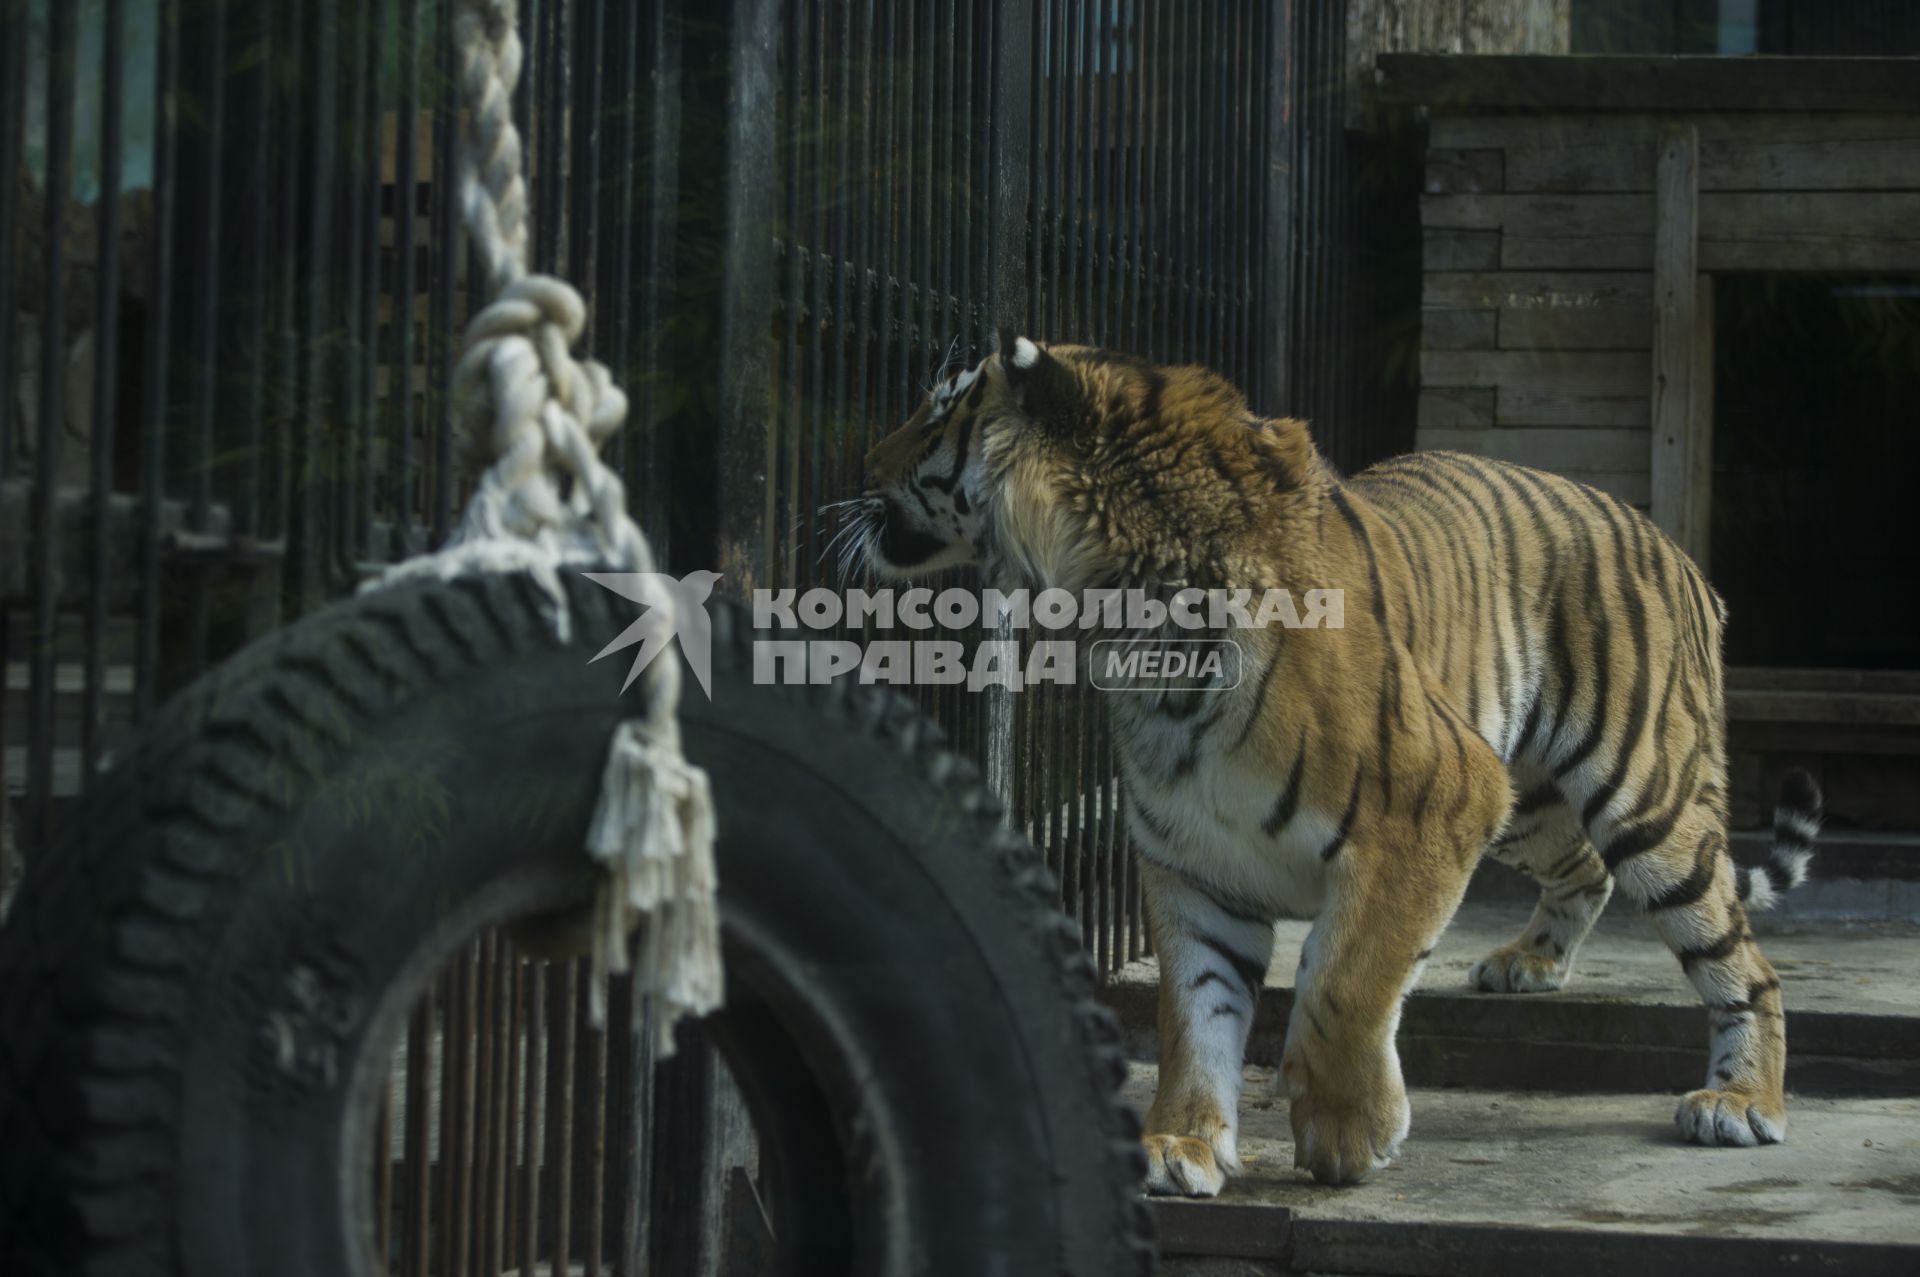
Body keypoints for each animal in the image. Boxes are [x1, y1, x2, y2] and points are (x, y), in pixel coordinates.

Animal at [852, 334, 1812, 1190]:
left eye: (940, 409)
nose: (864, 461)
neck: (1126, 620)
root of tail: (1675, 548)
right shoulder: (1192, 863)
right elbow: (1193, 1014)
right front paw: (1180, 1144)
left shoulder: (1434, 803)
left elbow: (1343, 979)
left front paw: (1348, 1131)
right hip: (1526, 803)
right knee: (1585, 867)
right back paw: (1529, 963)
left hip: (1641, 794)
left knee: (1743, 961)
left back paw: (1740, 1102)